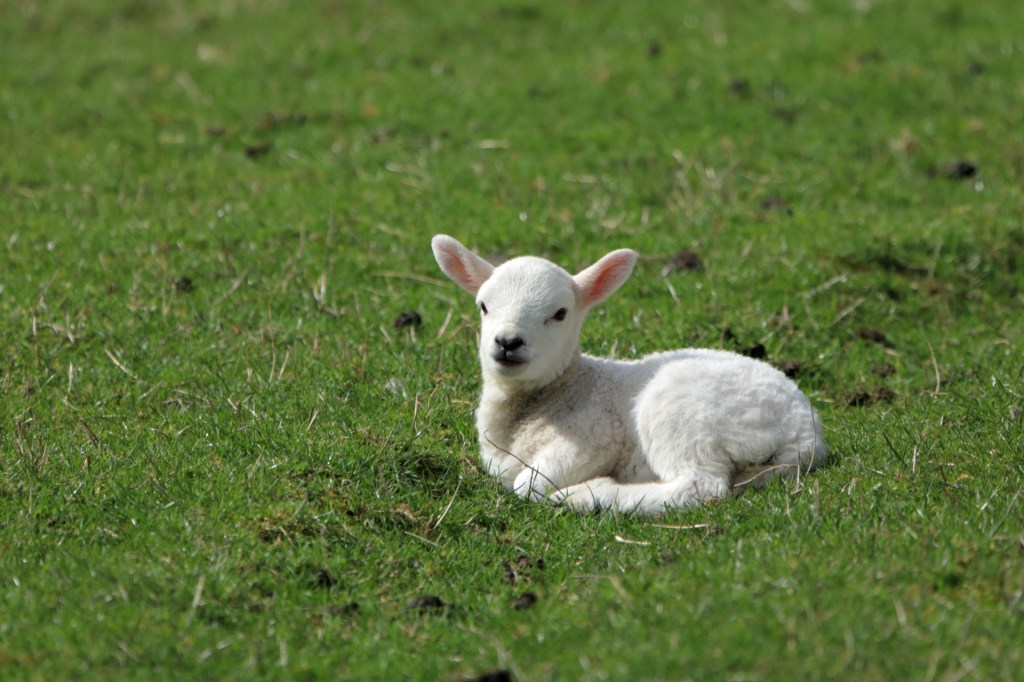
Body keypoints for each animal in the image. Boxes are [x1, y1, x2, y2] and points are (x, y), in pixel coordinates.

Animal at [431, 234, 827, 514]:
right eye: (483, 306)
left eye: (559, 313)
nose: (508, 342)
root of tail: (806, 434)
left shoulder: (595, 438)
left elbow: (528, 485)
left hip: (681, 413)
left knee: (701, 487)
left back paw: (589, 495)